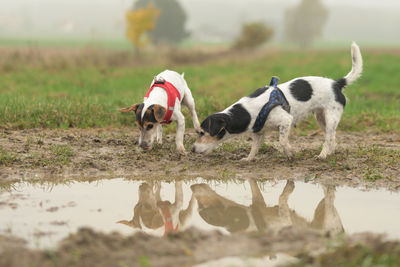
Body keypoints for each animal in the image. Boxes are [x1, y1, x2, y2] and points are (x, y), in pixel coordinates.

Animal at [192, 42, 364, 160]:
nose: (192, 149)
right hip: (321, 118)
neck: (247, 112)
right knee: (332, 137)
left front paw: (289, 152)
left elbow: (282, 141)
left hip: (331, 117)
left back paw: (322, 155)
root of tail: (337, 83)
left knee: (328, 138)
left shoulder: (286, 120)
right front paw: (248, 159)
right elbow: (254, 148)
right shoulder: (258, 132)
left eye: (202, 132)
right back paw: (329, 153)